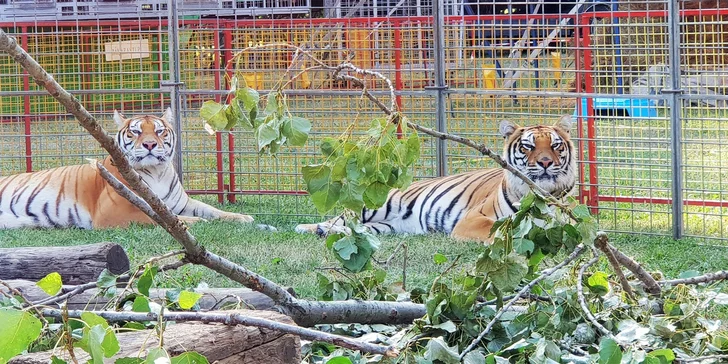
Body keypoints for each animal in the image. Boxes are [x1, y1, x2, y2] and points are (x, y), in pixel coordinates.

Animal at [0, 106, 260, 229]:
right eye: (135, 131)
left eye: (159, 130)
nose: (149, 144)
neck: (156, 173)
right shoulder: (114, 213)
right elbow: (160, 219)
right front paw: (197, 223)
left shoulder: (182, 203)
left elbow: (212, 210)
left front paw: (242, 217)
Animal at [292, 115, 576, 243]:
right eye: (528, 147)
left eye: (555, 146)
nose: (545, 162)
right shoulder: (472, 220)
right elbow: (502, 230)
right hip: (375, 206)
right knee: (341, 218)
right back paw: (309, 228)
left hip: (385, 227)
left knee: (354, 229)